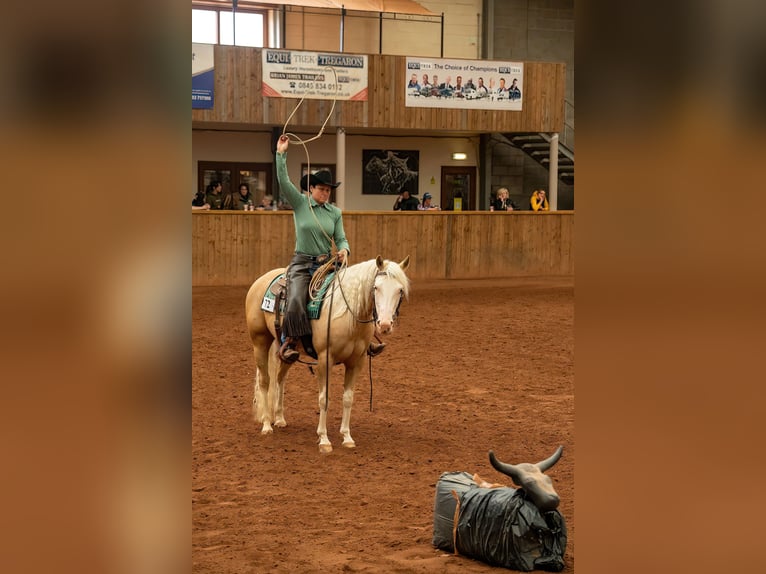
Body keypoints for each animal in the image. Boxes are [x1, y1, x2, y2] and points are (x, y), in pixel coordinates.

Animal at [248, 256, 414, 454]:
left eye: (400, 290)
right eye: (376, 287)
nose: (385, 325)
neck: (346, 313)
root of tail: (262, 279)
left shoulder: (356, 362)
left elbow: (348, 398)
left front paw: (347, 437)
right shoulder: (324, 360)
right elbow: (324, 398)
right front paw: (324, 439)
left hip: (288, 352)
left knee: (280, 378)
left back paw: (279, 419)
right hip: (260, 341)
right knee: (265, 381)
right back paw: (266, 425)